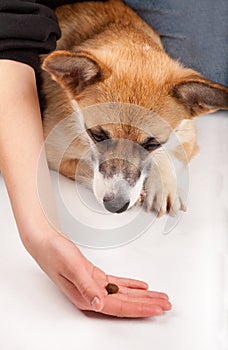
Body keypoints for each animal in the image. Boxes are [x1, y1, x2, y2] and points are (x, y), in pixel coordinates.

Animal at [40, 0, 228, 216]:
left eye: (152, 144)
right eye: (98, 136)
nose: (116, 206)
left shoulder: (187, 133)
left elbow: (169, 155)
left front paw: (163, 187)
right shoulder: (53, 152)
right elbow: (83, 166)